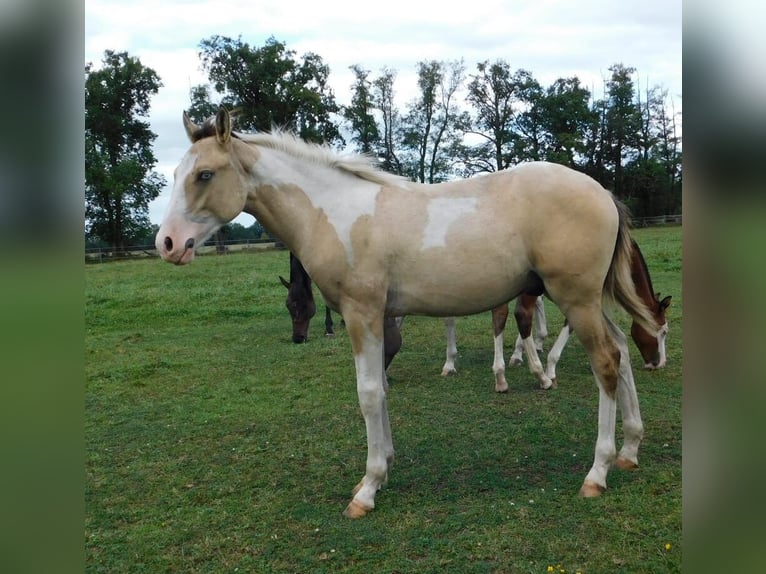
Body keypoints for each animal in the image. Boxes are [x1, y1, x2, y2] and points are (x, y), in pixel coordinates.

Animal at [156, 107, 660, 516]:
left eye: (204, 174)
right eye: (177, 172)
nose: (168, 244)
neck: (334, 213)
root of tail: (602, 192)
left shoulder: (360, 313)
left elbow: (367, 392)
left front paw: (367, 489)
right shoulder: (380, 318)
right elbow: (381, 388)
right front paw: (385, 466)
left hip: (575, 298)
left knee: (606, 363)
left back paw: (597, 472)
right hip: (587, 301)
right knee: (622, 351)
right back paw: (630, 450)